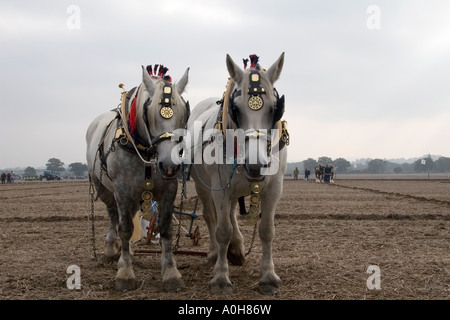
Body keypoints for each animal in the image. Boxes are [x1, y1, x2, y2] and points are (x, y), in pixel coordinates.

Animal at [86, 63, 190, 292]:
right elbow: (125, 229)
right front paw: (125, 274)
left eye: (184, 114)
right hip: (104, 188)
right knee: (113, 215)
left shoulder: (168, 190)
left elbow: (166, 229)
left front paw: (171, 273)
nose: (169, 166)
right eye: (148, 114)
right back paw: (111, 251)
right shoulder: (123, 190)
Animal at [185, 53, 288, 296]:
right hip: (204, 186)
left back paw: (237, 249)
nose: (256, 165)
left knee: (231, 212)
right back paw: (215, 253)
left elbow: (267, 231)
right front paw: (221, 277)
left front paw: (268, 276)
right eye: (236, 109)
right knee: (210, 216)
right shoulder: (220, 188)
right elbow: (222, 230)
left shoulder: (274, 188)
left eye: (274, 108)